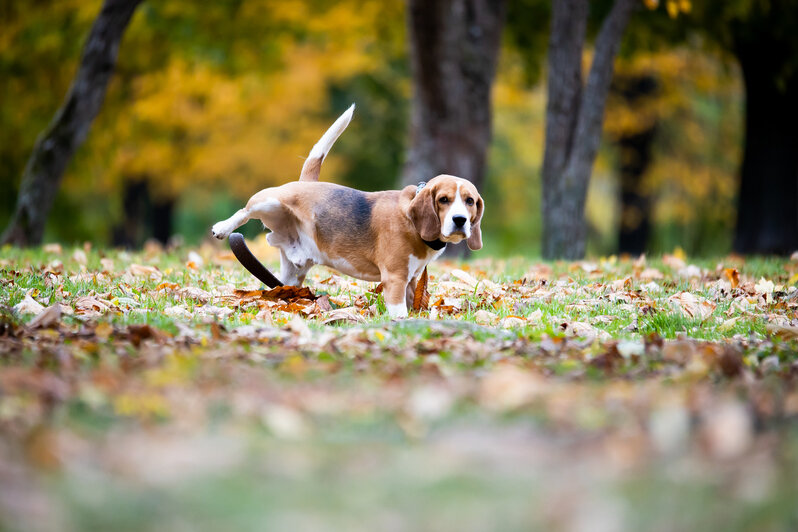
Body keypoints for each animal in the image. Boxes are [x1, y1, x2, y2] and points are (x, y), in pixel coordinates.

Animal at [212, 106, 484, 318]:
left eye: (470, 201)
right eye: (443, 200)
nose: (460, 220)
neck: (413, 222)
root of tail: (307, 183)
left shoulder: (411, 279)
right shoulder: (395, 278)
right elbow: (399, 312)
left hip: (294, 270)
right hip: (270, 200)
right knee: (244, 210)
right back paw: (223, 228)